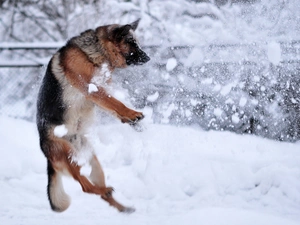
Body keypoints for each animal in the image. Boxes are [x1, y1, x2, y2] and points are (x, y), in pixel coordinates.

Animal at [36, 19, 150, 213]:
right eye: (132, 43)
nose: (148, 58)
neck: (97, 54)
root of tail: (46, 155)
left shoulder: (98, 94)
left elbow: (113, 107)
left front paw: (131, 121)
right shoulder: (92, 90)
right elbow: (115, 103)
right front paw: (133, 114)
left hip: (93, 162)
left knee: (99, 191)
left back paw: (122, 207)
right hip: (69, 156)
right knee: (86, 187)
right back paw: (105, 191)